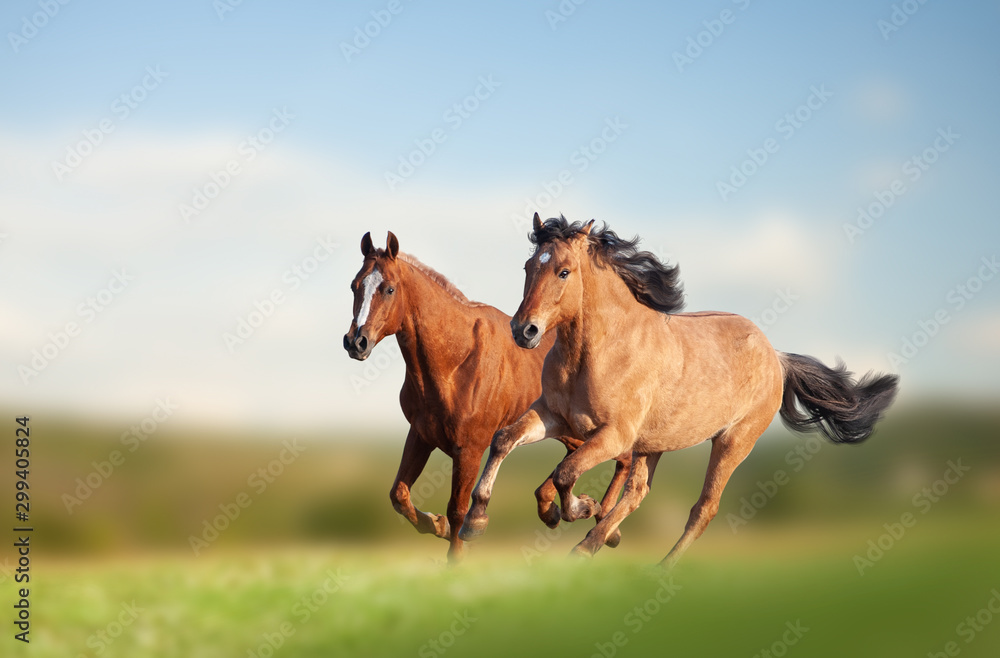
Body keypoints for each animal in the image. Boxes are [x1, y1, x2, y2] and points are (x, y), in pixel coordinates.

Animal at [348, 229, 628, 560]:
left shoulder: (469, 449)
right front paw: (438, 525)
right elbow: (399, 495)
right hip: (568, 430)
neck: (457, 361)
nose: (356, 342)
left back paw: (603, 524)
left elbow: (457, 509)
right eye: (355, 286)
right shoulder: (421, 435)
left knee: (623, 459)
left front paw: (456, 552)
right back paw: (569, 513)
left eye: (389, 289)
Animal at [460, 218, 900, 568]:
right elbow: (505, 441)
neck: (597, 350)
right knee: (638, 493)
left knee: (703, 508)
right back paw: (593, 543)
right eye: (529, 266)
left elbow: (566, 472)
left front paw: (579, 507)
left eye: (564, 271)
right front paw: (476, 521)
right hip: (653, 445)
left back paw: (656, 565)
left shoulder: (613, 436)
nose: (524, 330)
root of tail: (776, 357)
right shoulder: (554, 416)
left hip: (731, 442)